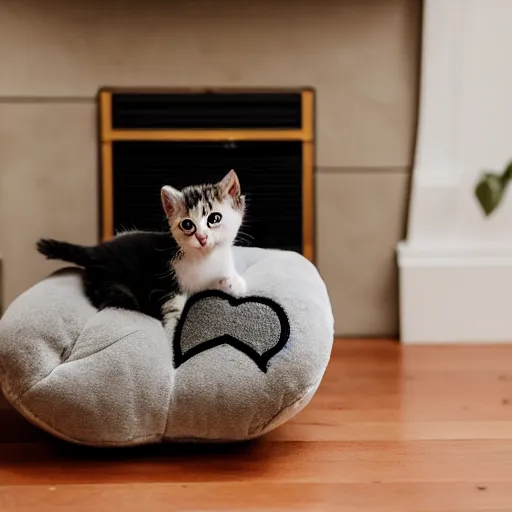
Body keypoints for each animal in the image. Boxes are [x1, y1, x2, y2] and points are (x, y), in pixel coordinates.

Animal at [36, 170, 248, 334]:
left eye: (215, 218)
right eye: (188, 225)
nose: (202, 238)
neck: (204, 258)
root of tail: (96, 250)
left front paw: (236, 284)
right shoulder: (168, 288)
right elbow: (172, 315)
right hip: (112, 284)